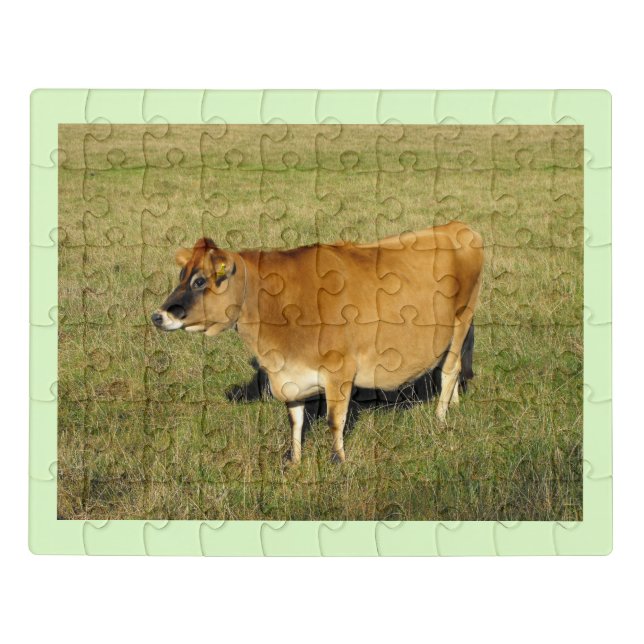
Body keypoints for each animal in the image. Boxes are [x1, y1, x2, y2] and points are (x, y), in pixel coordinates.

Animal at [151, 221, 484, 464]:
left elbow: (335, 421)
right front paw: (295, 461)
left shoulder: (339, 371)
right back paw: (453, 404)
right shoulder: (288, 375)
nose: (158, 316)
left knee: (450, 370)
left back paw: (440, 418)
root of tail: (455, 226)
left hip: (461, 319)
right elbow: (295, 421)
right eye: (181, 276)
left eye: (199, 281)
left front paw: (338, 461)